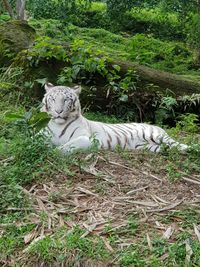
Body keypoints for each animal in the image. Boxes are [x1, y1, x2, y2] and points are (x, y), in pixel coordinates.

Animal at [40, 84, 188, 155]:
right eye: (53, 99)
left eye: (66, 100)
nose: (58, 111)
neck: (59, 124)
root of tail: (155, 125)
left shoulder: (87, 139)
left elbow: (67, 146)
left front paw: (52, 152)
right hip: (146, 147)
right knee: (167, 148)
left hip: (156, 135)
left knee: (176, 144)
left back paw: (188, 148)